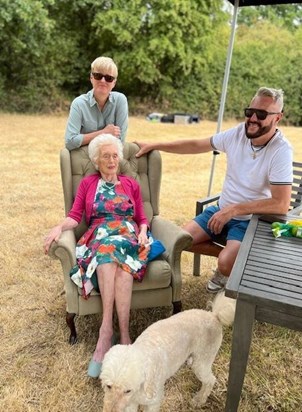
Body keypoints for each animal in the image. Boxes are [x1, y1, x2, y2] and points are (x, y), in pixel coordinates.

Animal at [100, 292, 235, 410]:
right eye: (108, 386)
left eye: (127, 390)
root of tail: (214, 316)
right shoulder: (131, 404)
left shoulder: (153, 402)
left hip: (203, 361)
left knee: (210, 380)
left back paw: (199, 400)